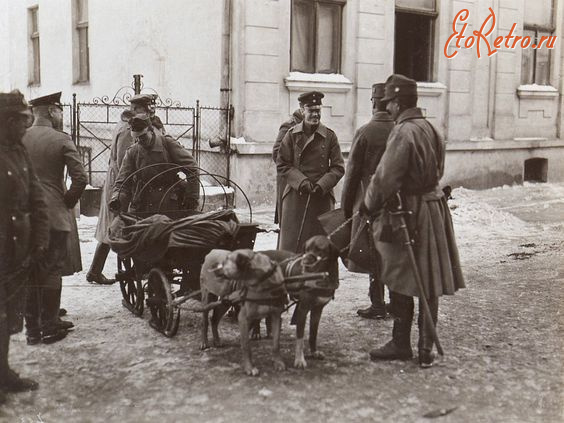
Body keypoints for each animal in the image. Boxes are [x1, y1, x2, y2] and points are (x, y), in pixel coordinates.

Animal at [262, 237, 340, 370]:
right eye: (306, 249)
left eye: (319, 249)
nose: (305, 262)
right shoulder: (302, 309)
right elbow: (300, 337)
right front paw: (299, 360)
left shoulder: (317, 310)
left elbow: (313, 334)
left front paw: (314, 352)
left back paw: (270, 333)